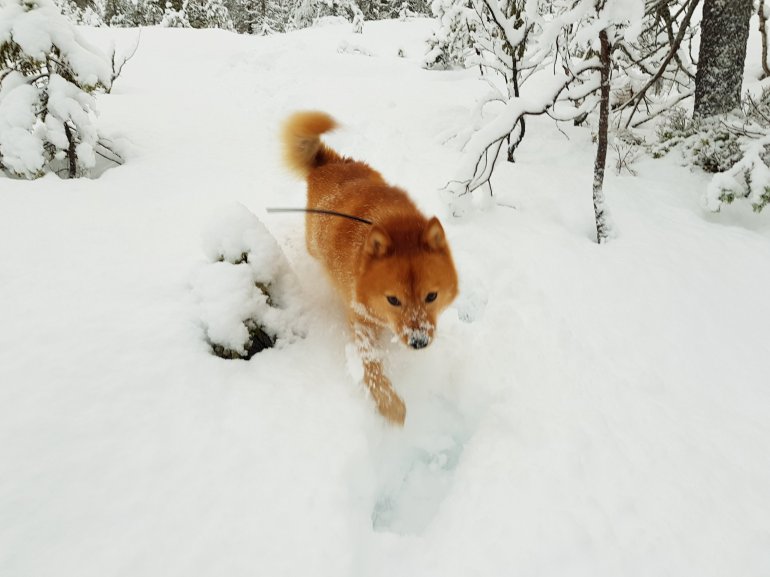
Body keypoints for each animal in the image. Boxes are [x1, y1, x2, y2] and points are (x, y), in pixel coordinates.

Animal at [282, 111, 458, 425]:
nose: (419, 342)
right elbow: (371, 365)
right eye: (393, 300)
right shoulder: (360, 319)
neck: (394, 226)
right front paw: (390, 404)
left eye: (431, 296)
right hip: (312, 243)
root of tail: (331, 162)